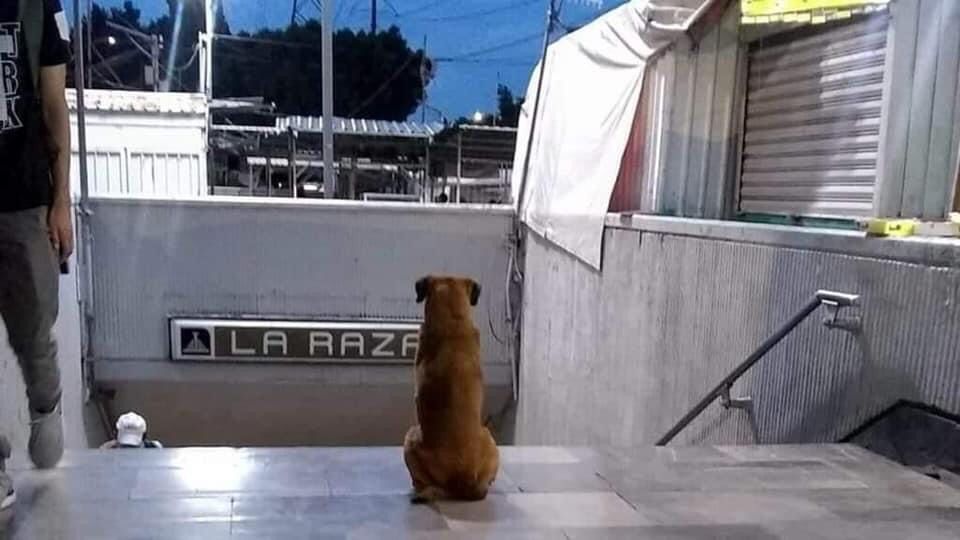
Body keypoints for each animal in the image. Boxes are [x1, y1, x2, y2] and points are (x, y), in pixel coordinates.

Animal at [402, 276, 498, 504]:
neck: (453, 321)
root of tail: (463, 479)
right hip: (490, 439)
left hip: (410, 438)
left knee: (422, 482)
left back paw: (419, 489)